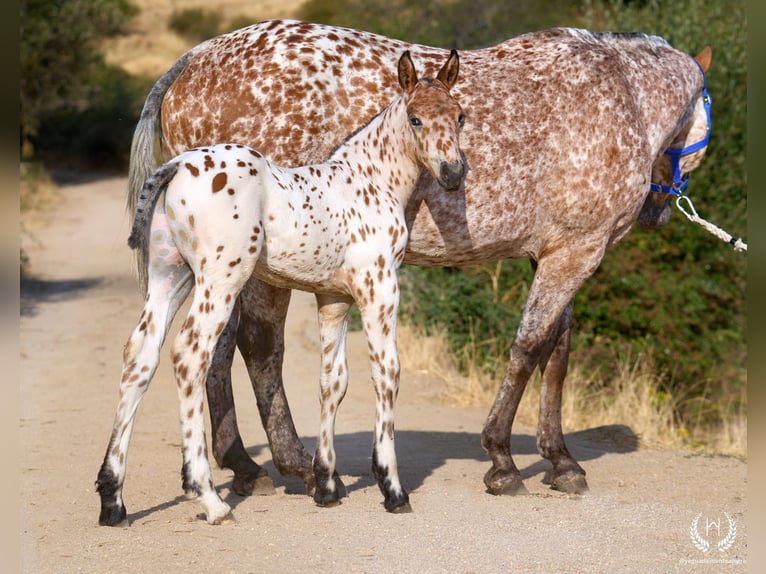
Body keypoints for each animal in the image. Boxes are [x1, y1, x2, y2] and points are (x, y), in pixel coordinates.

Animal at [96, 50, 465, 525]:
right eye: (416, 119)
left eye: (459, 116)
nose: (454, 172)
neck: (368, 180)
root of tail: (175, 166)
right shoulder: (379, 289)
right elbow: (386, 374)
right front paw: (392, 489)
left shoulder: (333, 299)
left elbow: (333, 382)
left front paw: (326, 485)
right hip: (220, 280)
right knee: (190, 355)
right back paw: (209, 498)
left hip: (170, 277)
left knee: (140, 356)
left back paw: (112, 499)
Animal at [128, 20, 713, 499]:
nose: (661, 208)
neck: (621, 96)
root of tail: (196, 57)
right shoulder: (576, 255)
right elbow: (527, 350)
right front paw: (503, 460)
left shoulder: (557, 254)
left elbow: (556, 354)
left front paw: (560, 459)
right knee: (258, 346)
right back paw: (297, 464)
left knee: (219, 353)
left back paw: (243, 466)